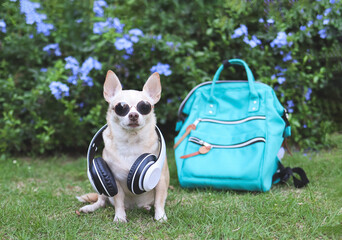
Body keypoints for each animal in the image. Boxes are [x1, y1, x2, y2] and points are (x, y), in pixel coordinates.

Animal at [77, 70, 169, 222]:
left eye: (145, 107)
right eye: (121, 107)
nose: (133, 115)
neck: (131, 141)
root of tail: (133, 207)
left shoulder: (160, 179)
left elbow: (159, 201)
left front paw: (160, 216)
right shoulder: (114, 181)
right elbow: (118, 201)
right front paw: (120, 217)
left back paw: (147, 207)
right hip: (102, 186)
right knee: (102, 201)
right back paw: (90, 207)